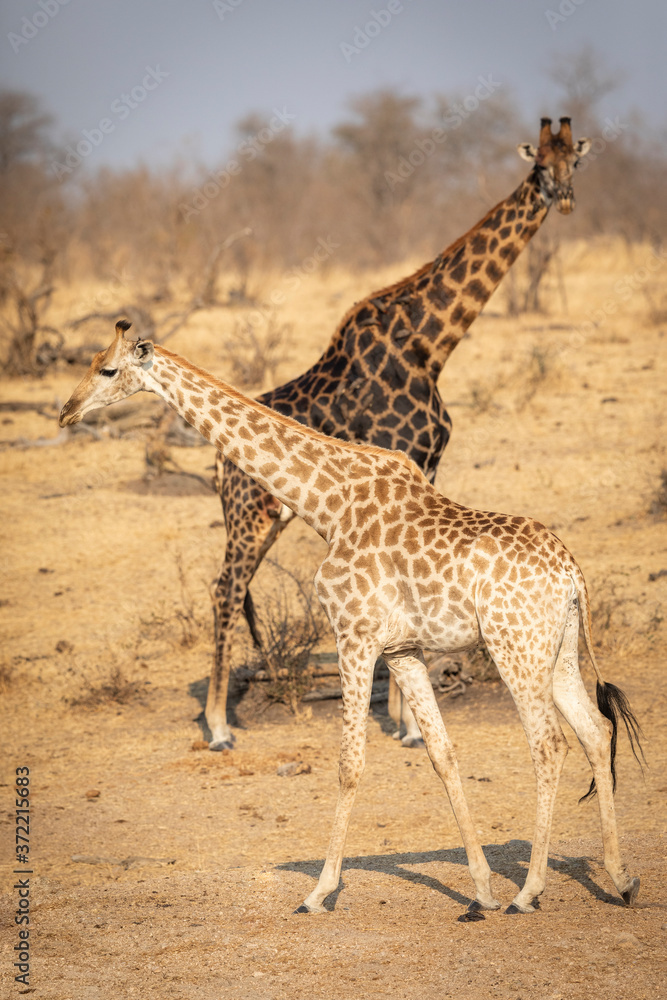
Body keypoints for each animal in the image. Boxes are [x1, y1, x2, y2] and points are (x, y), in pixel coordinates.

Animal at [60, 321, 643, 918]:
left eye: (107, 369)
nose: (66, 411)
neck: (326, 505)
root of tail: (572, 573)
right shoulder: (403, 649)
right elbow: (442, 753)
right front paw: (480, 889)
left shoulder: (354, 636)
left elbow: (349, 763)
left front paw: (319, 892)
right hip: (557, 647)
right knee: (596, 731)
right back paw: (620, 879)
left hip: (513, 645)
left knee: (550, 743)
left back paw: (529, 891)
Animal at [209, 116, 592, 750]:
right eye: (539, 164)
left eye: (575, 162)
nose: (562, 199)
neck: (429, 344)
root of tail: (215, 462)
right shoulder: (407, 451)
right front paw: (407, 724)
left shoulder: (428, 463)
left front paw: (406, 721)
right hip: (250, 516)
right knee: (225, 589)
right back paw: (217, 727)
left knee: (230, 590)